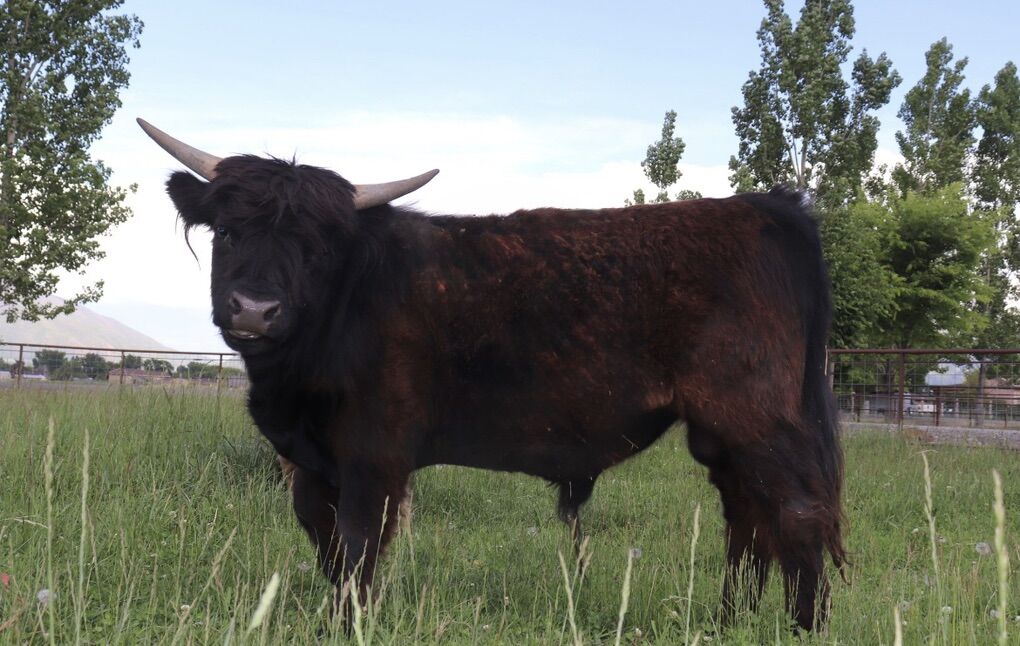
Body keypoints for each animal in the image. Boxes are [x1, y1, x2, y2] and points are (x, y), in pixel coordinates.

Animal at [139, 118, 845, 631]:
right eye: (228, 232)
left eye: (316, 249)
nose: (254, 310)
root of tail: (766, 207)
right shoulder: (310, 467)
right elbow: (329, 550)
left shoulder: (375, 457)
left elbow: (360, 549)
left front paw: (346, 626)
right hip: (723, 435)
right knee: (748, 520)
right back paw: (728, 622)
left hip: (758, 420)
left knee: (798, 515)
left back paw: (802, 628)